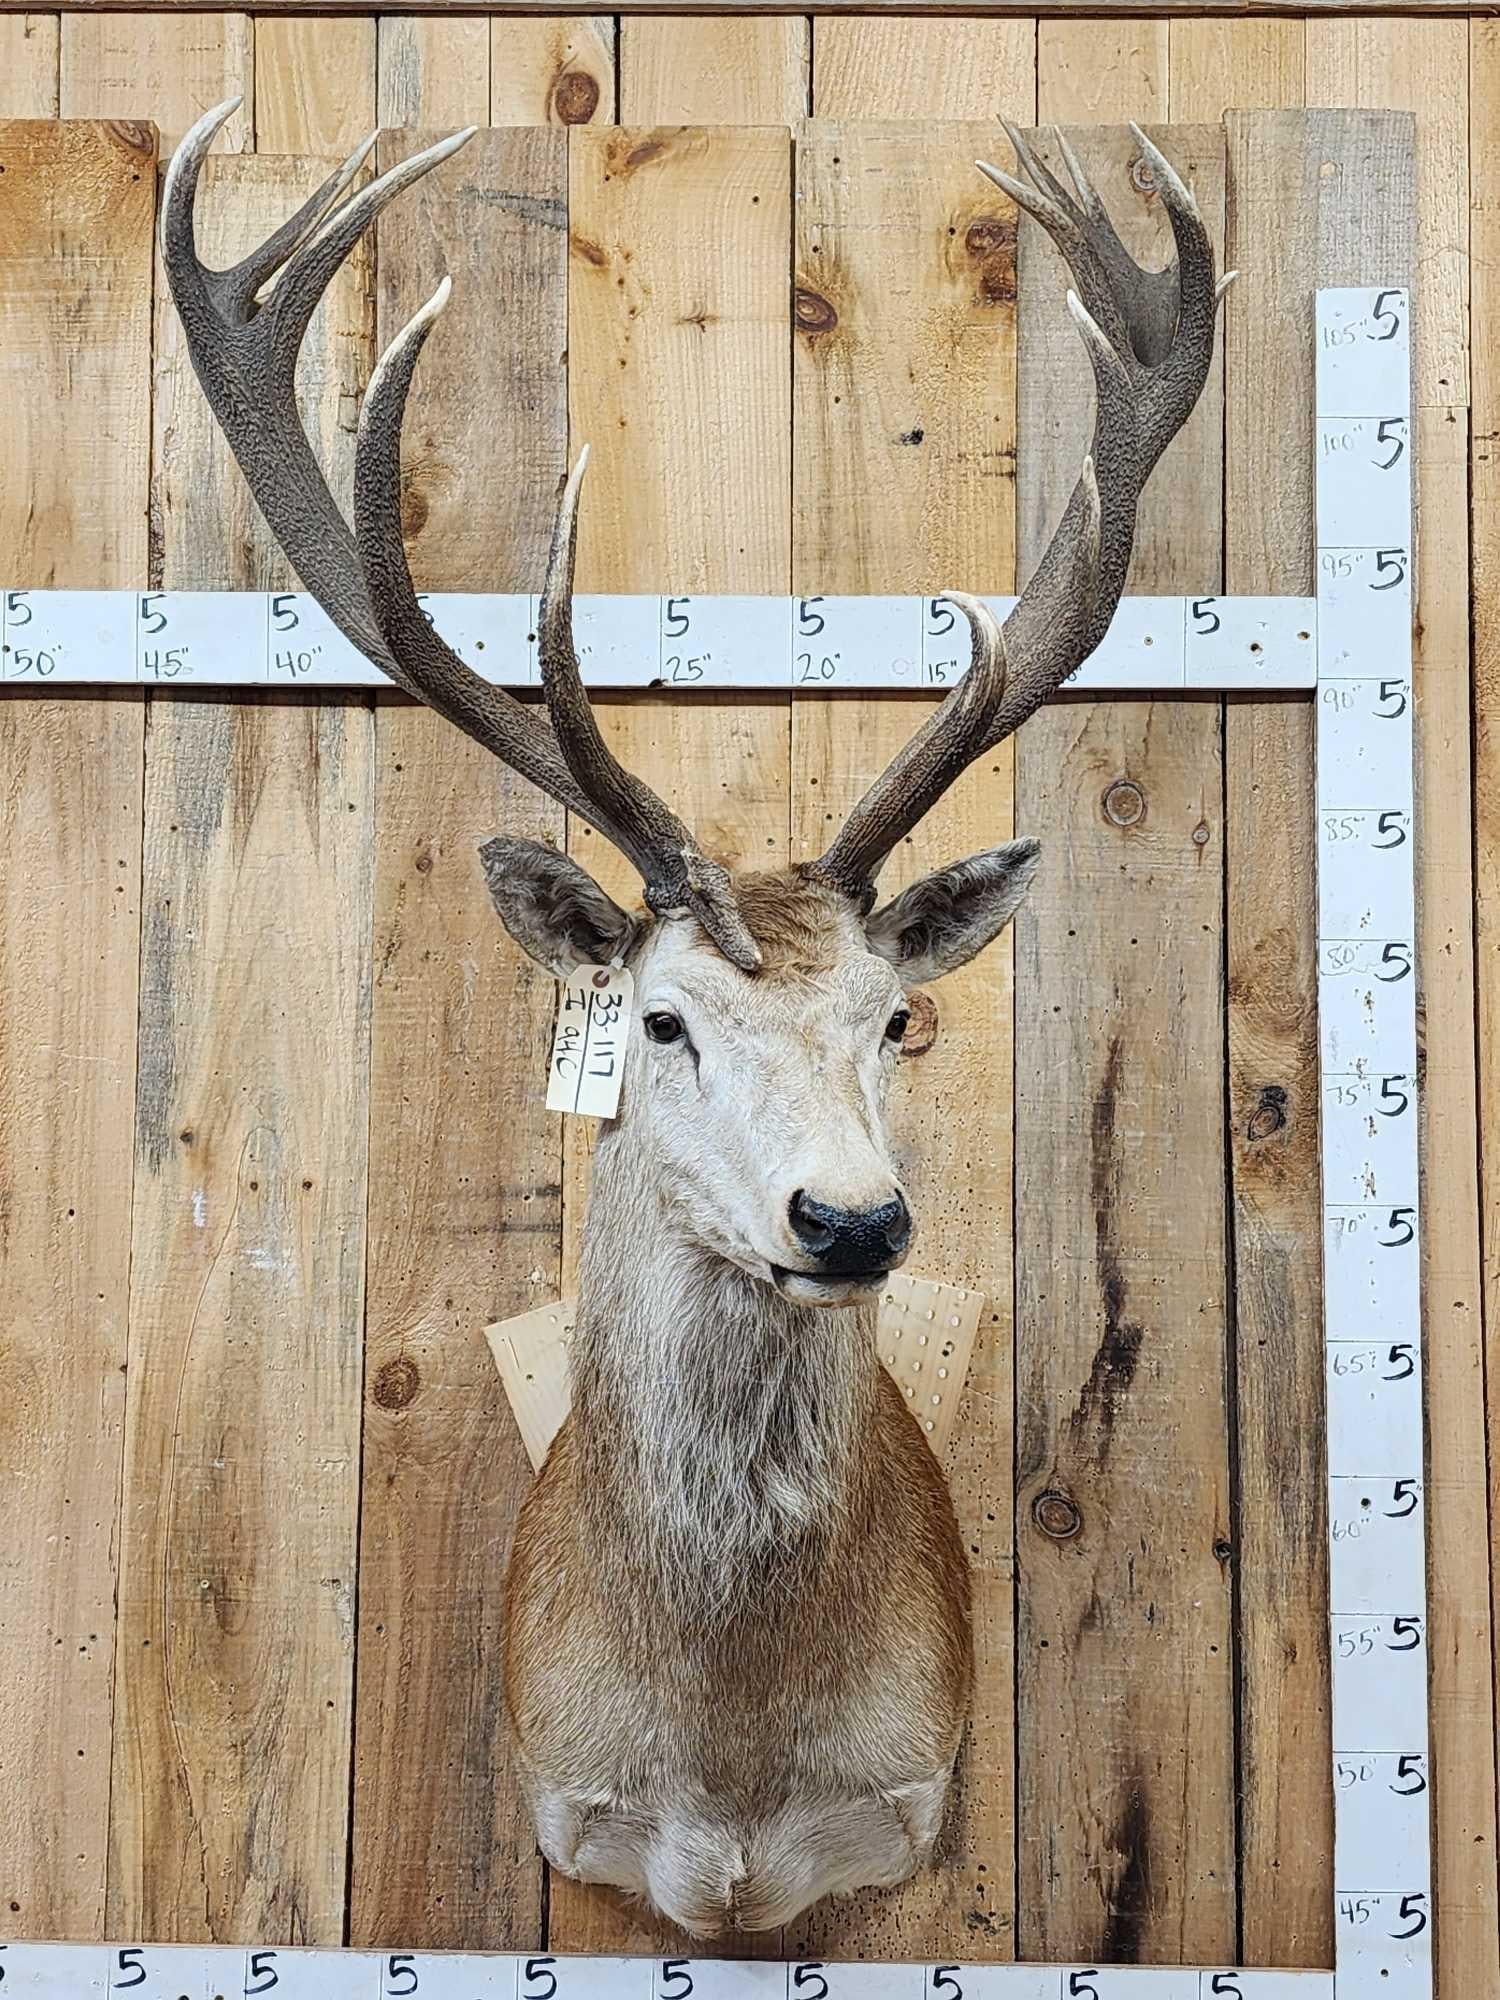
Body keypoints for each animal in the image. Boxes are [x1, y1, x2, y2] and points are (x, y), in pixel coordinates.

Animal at [162, 102, 1228, 1938]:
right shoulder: (574, 1823)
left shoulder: (901, 1822)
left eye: (896, 1019)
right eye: (660, 1023)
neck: (726, 1786)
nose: (852, 1220)